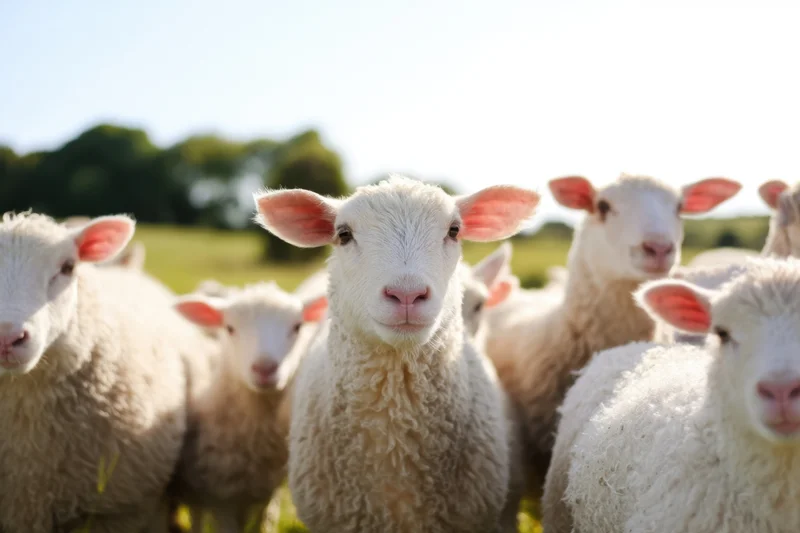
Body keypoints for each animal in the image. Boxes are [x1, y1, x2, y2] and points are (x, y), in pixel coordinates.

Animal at [169, 282, 327, 533]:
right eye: (230, 328)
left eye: (297, 326)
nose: (265, 368)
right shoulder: (221, 498)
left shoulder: (263, 492)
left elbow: (262, 522)